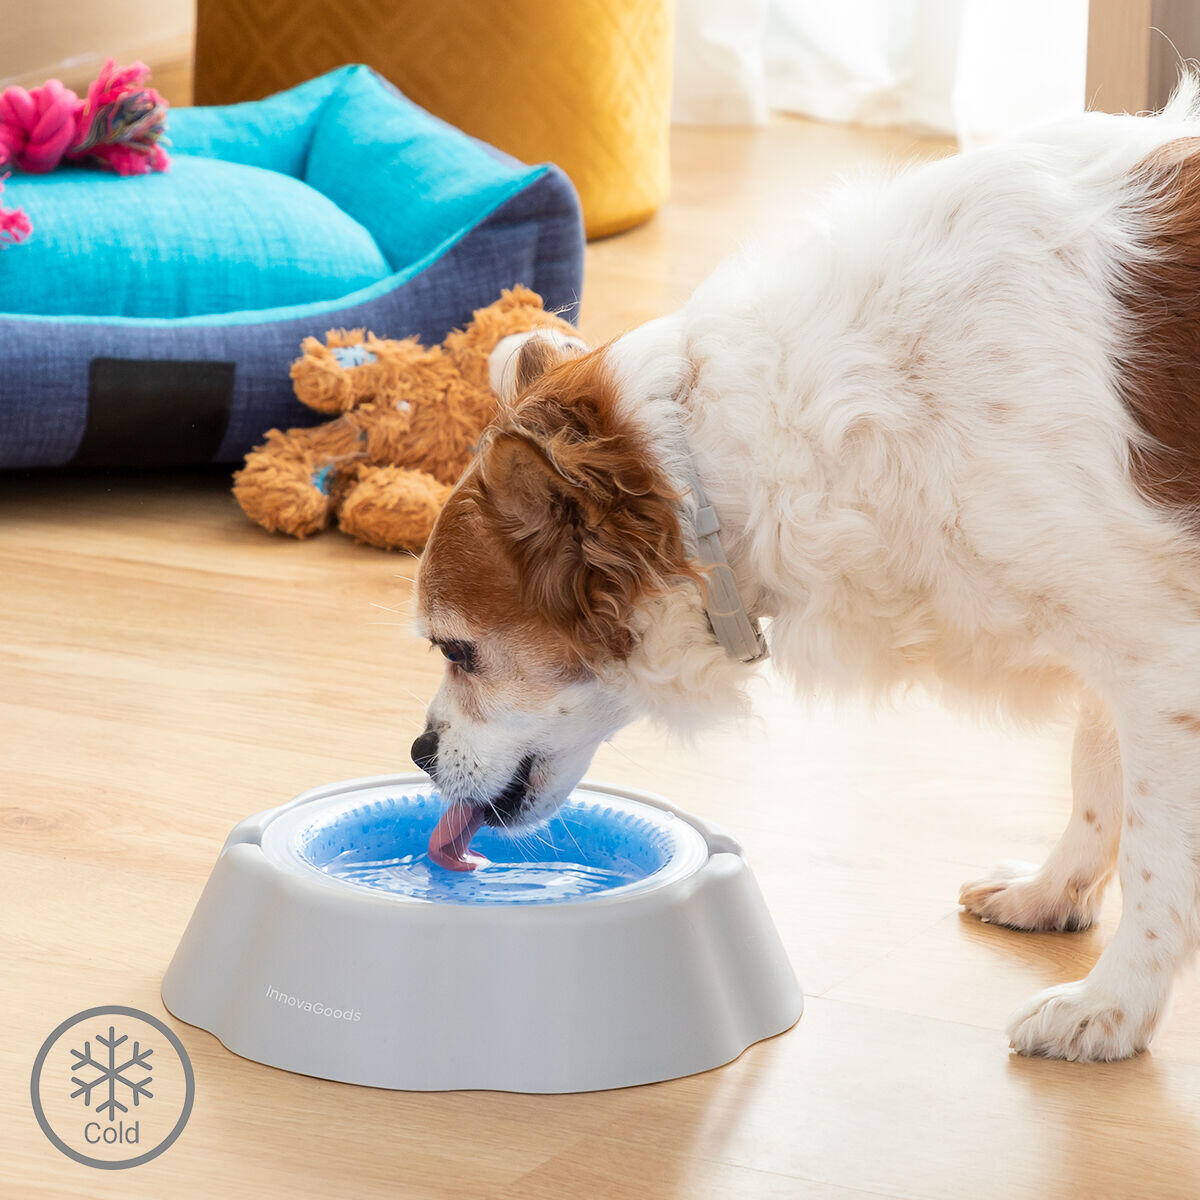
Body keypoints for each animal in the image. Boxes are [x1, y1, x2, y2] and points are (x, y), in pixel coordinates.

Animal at [412, 82, 1200, 1060]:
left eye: (459, 651)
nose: (418, 751)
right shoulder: (1113, 633)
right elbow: (1098, 778)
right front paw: (1055, 893)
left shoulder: (1163, 662)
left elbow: (1160, 853)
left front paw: (1115, 1005)